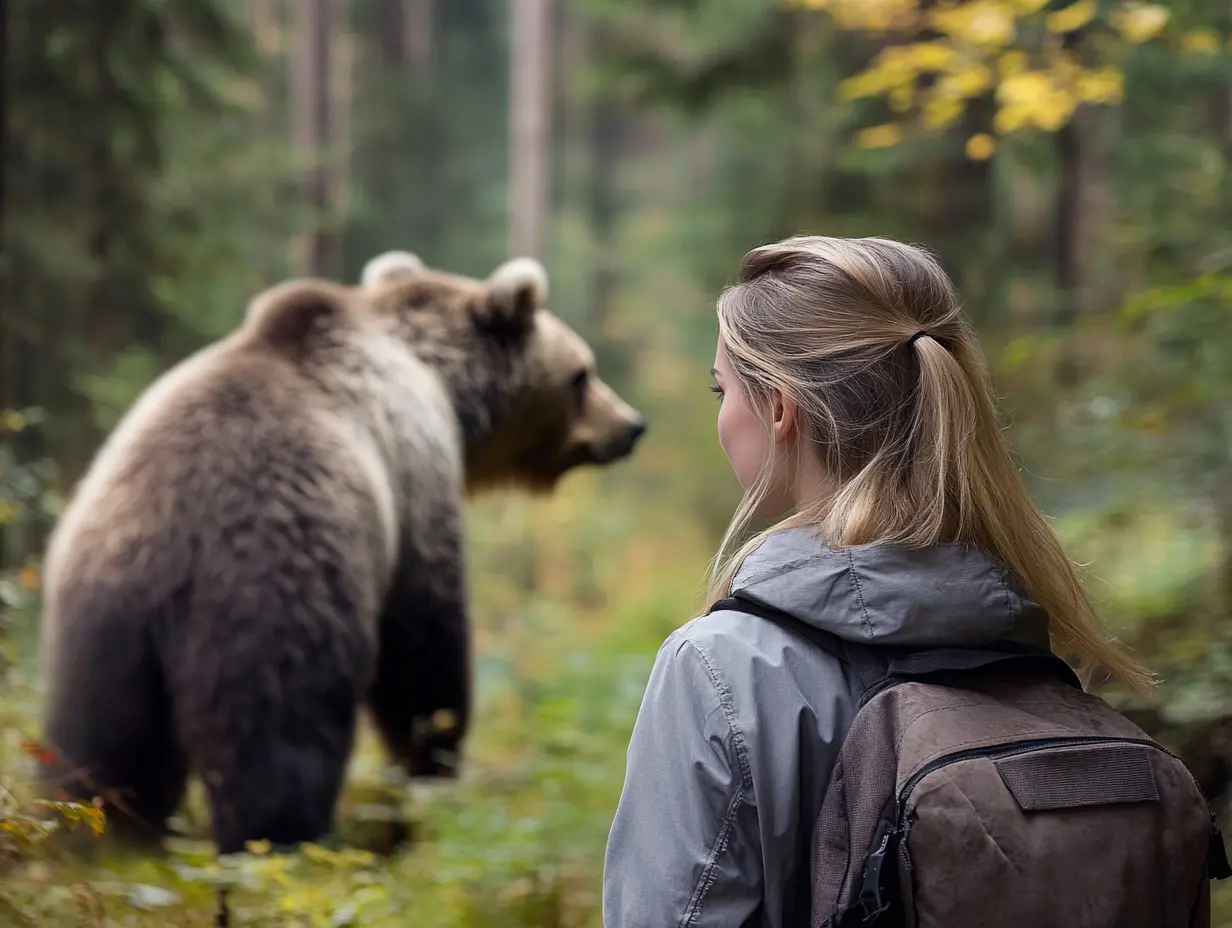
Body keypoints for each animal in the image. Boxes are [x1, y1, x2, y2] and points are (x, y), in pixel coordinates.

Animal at [35, 251, 646, 856]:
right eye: (582, 373)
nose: (631, 425)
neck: (442, 384)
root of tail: (168, 550)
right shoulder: (416, 481)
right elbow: (425, 646)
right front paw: (431, 768)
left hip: (99, 625)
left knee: (104, 748)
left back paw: (100, 838)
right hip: (276, 591)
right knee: (280, 741)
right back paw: (281, 843)